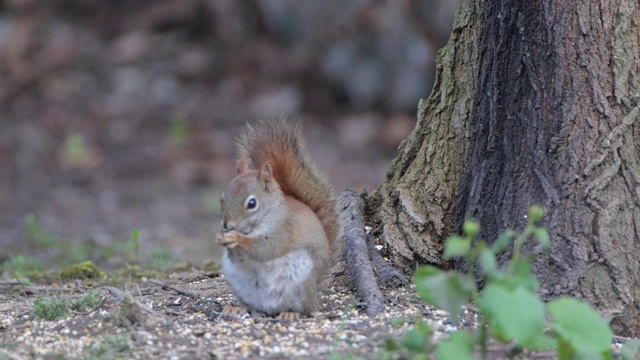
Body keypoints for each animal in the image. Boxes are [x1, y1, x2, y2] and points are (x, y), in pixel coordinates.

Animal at [215, 118, 342, 318]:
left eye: (252, 203)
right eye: (222, 198)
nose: (228, 225)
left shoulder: (283, 229)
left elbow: (267, 248)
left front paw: (237, 238)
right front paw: (221, 238)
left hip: (301, 282)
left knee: (307, 308)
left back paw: (291, 313)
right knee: (251, 304)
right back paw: (237, 307)